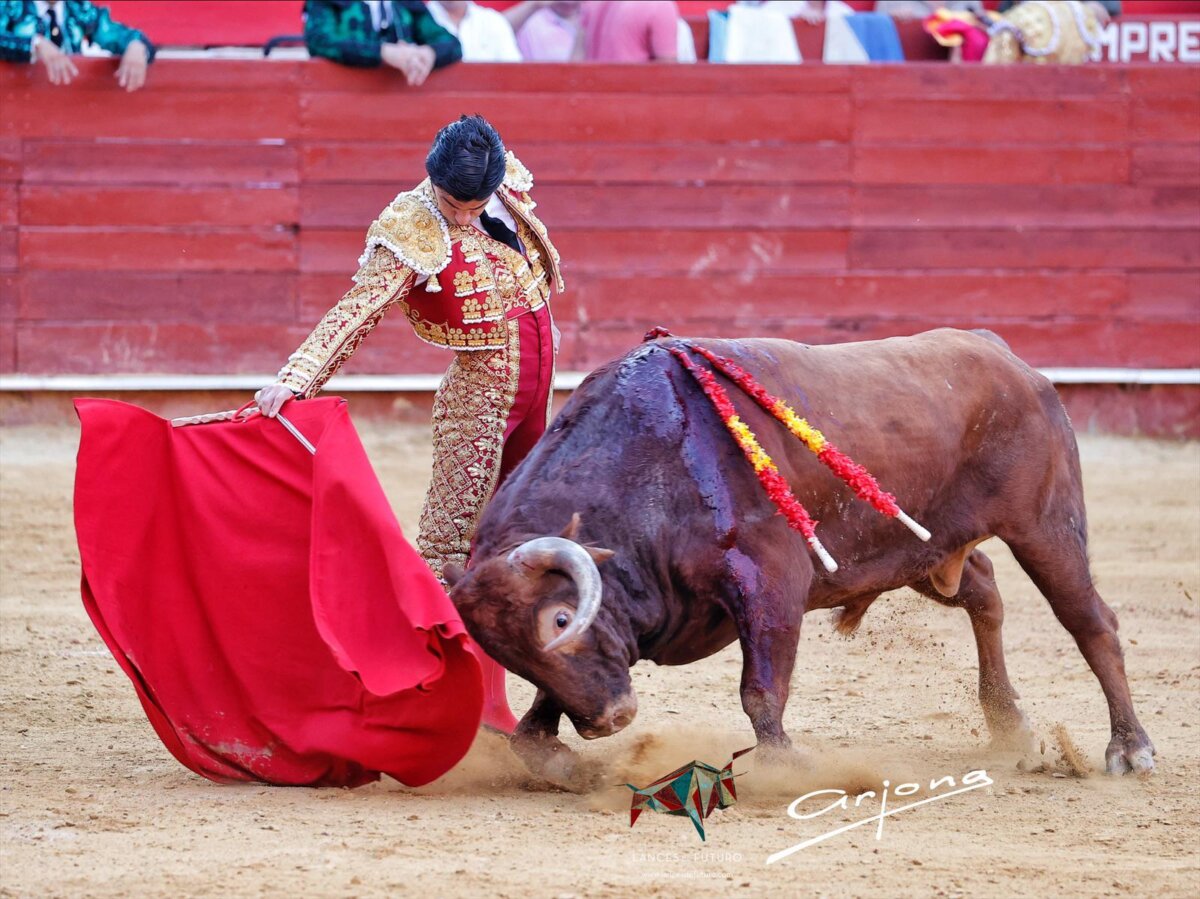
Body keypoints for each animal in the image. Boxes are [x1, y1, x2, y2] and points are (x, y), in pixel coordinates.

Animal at [445, 329, 1156, 784]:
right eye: (509, 654)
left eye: (561, 620)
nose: (611, 720)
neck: (647, 467)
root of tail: (1006, 355)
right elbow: (541, 714)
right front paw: (555, 756)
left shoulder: (770, 581)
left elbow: (761, 688)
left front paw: (785, 767)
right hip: (924, 551)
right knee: (984, 593)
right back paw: (1009, 725)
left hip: (1046, 526)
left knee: (1091, 622)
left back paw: (1130, 749)